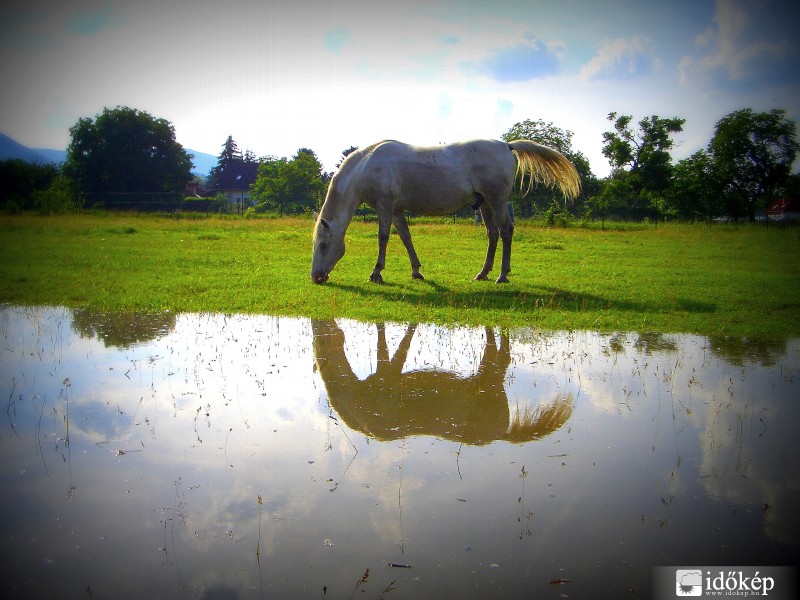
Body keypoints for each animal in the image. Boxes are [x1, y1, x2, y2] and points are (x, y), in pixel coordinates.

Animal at [310, 138, 580, 284]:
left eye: (323, 245)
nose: (316, 277)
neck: (366, 167)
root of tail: (505, 145)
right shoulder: (397, 210)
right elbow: (406, 237)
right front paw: (416, 271)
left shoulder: (385, 206)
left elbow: (383, 237)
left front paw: (377, 272)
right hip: (485, 204)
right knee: (493, 234)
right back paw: (483, 273)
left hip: (497, 201)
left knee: (506, 231)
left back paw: (502, 275)